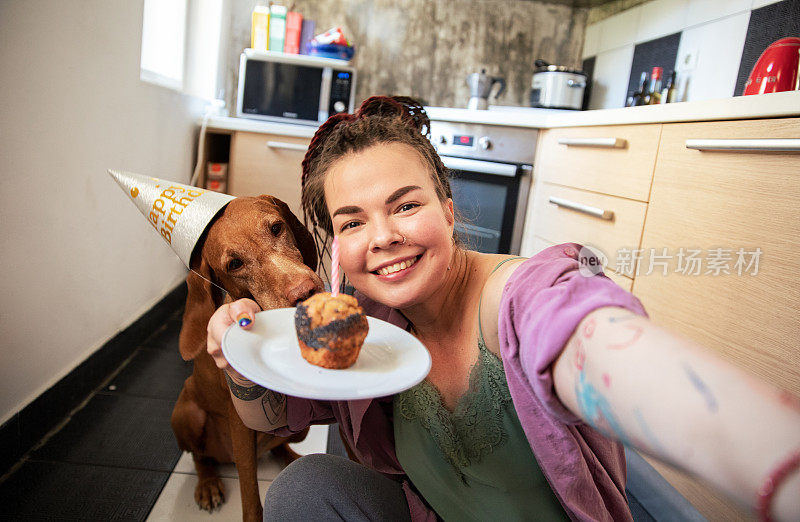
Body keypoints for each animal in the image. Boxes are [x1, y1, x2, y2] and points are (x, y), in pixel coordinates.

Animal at [173, 196, 324, 520]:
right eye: (234, 264)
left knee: (278, 445)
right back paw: (208, 483)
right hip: (187, 411)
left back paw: (290, 457)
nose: (305, 291)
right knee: (200, 456)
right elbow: (249, 492)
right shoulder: (240, 424)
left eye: (277, 227)